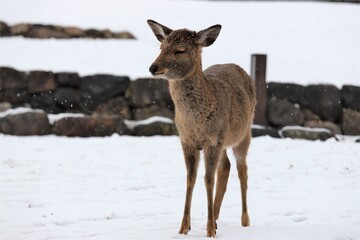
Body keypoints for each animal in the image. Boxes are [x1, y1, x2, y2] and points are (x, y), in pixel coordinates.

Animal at [147, 19, 256, 237]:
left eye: (180, 50)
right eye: (161, 47)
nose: (153, 67)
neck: (195, 124)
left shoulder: (213, 141)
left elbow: (208, 180)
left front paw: (210, 231)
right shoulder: (186, 140)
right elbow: (191, 179)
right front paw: (183, 228)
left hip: (244, 133)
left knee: (242, 170)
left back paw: (244, 221)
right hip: (224, 139)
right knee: (226, 167)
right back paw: (215, 218)